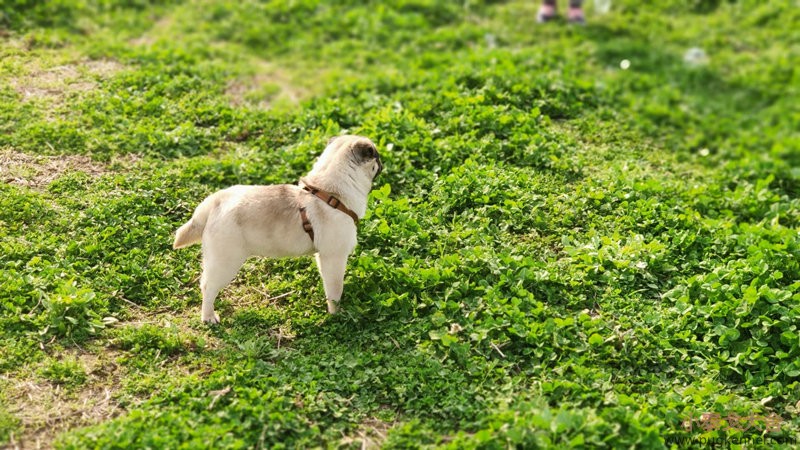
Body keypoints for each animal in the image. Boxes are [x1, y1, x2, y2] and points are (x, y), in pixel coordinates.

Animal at [174, 134, 384, 324]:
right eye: (375, 155)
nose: (382, 161)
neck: (329, 193)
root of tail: (215, 201)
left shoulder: (323, 257)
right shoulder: (335, 257)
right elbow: (335, 291)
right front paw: (336, 314)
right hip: (226, 261)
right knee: (208, 287)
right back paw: (209, 316)